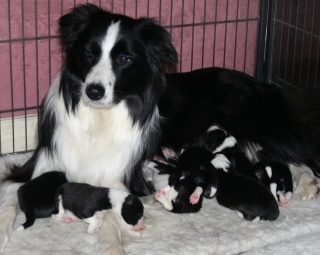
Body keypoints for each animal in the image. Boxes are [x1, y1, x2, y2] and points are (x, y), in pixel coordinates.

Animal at [0, 2, 320, 251]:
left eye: (124, 58)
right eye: (89, 53)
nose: (94, 91)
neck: (100, 117)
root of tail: (262, 82)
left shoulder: (119, 177)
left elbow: (111, 219)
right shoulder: (40, 166)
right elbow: (8, 201)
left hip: (259, 123)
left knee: (304, 156)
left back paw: (307, 185)